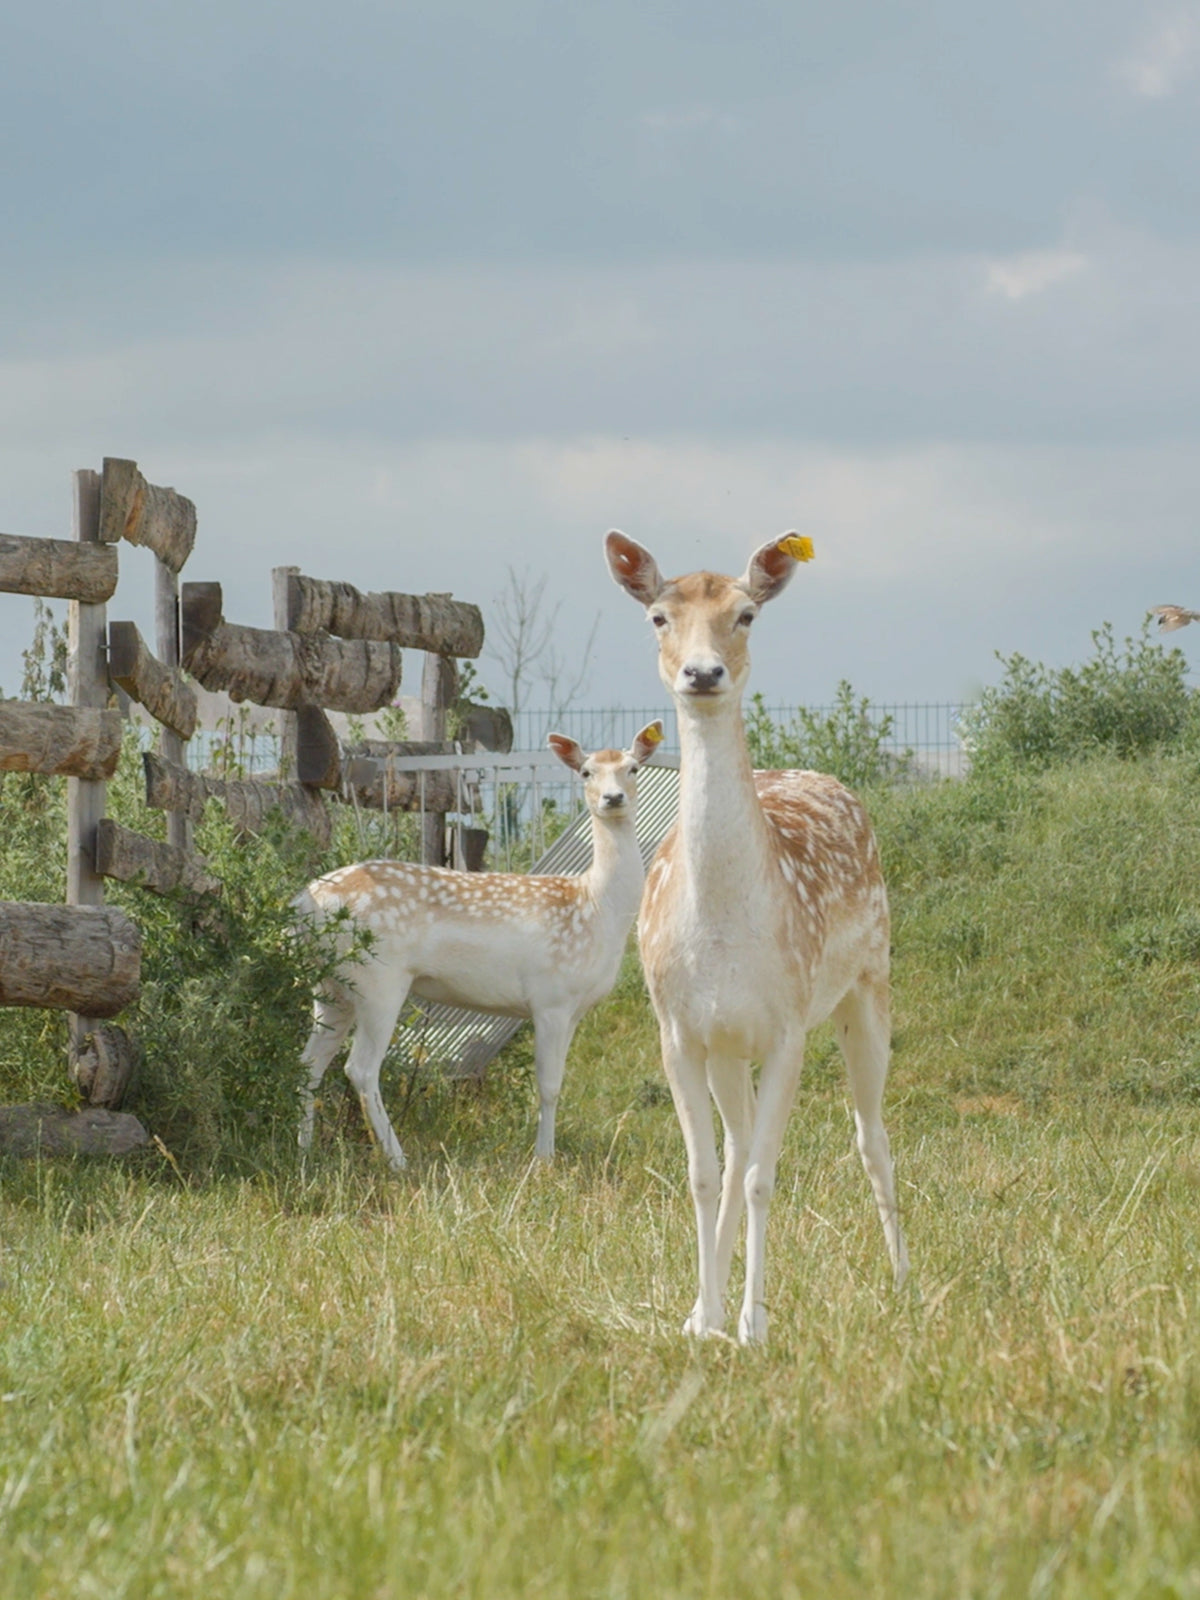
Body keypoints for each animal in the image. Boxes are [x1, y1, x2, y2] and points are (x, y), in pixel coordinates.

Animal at [294, 723, 662, 1164]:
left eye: (633, 768)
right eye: (586, 772)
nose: (613, 798)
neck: (595, 906)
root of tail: (305, 901)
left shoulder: (575, 1007)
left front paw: (545, 1155)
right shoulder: (551, 997)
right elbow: (550, 1086)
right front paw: (543, 1161)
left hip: (330, 984)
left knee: (309, 1062)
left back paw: (305, 1152)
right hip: (377, 978)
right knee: (360, 1068)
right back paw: (398, 1161)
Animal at [611, 531, 908, 1344]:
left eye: (746, 615)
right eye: (657, 616)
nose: (703, 672)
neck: (723, 934)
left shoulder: (786, 1028)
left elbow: (762, 1179)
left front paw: (754, 1324)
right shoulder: (680, 1032)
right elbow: (706, 1173)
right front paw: (703, 1317)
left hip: (870, 985)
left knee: (871, 1134)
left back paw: (906, 1280)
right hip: (728, 1047)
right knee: (738, 1140)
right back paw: (701, 1305)